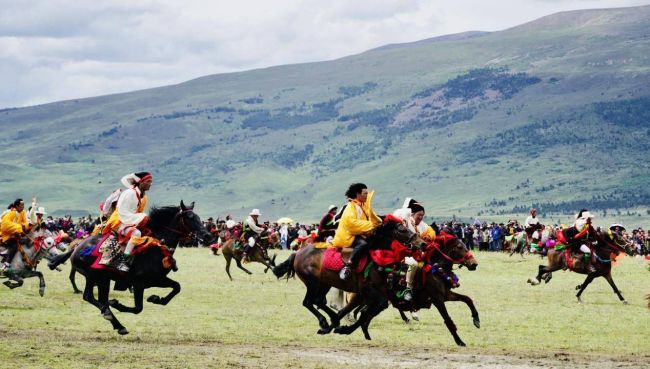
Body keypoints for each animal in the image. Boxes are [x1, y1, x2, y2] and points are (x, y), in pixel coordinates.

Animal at [46, 200, 213, 334]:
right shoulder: (139, 282)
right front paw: (118, 304)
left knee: (98, 299)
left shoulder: (157, 279)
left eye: (199, 218)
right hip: (96, 277)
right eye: (190, 218)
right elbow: (138, 308)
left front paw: (156, 299)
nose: (208, 236)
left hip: (103, 279)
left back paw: (115, 322)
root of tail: (77, 247)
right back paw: (112, 318)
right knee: (91, 297)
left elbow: (177, 287)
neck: (157, 247)